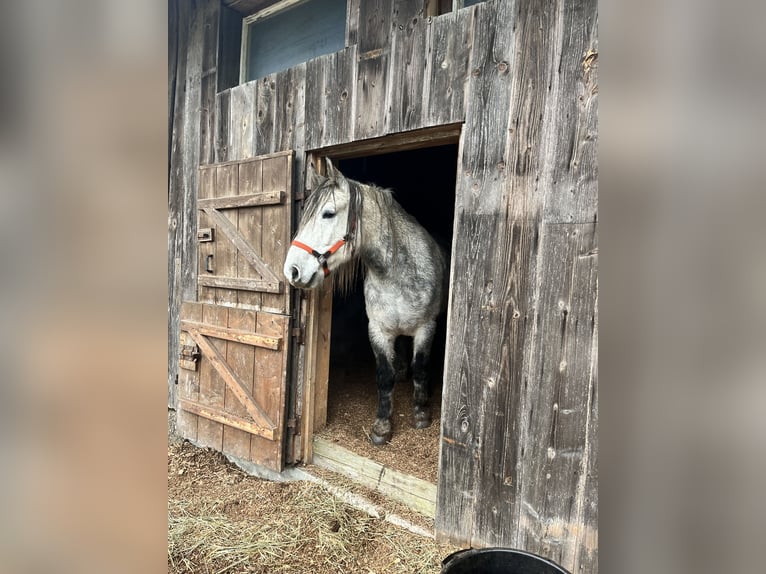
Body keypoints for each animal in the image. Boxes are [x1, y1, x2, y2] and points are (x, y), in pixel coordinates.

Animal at [284, 160, 450, 448]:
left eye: (328, 214)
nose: (292, 270)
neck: (396, 273)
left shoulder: (426, 328)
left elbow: (421, 368)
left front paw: (421, 414)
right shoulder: (379, 331)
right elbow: (384, 376)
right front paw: (382, 427)